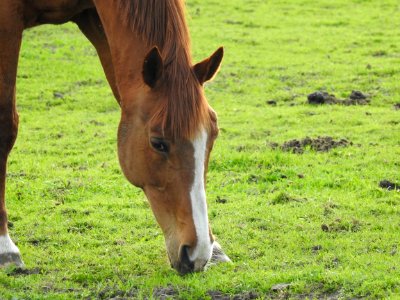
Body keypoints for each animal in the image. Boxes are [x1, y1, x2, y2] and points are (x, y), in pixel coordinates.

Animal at [0, 0, 230, 276]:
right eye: (158, 143)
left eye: (212, 136)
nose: (197, 252)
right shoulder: (6, 21)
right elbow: (5, 127)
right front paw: (5, 246)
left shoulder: (93, 18)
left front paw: (215, 249)